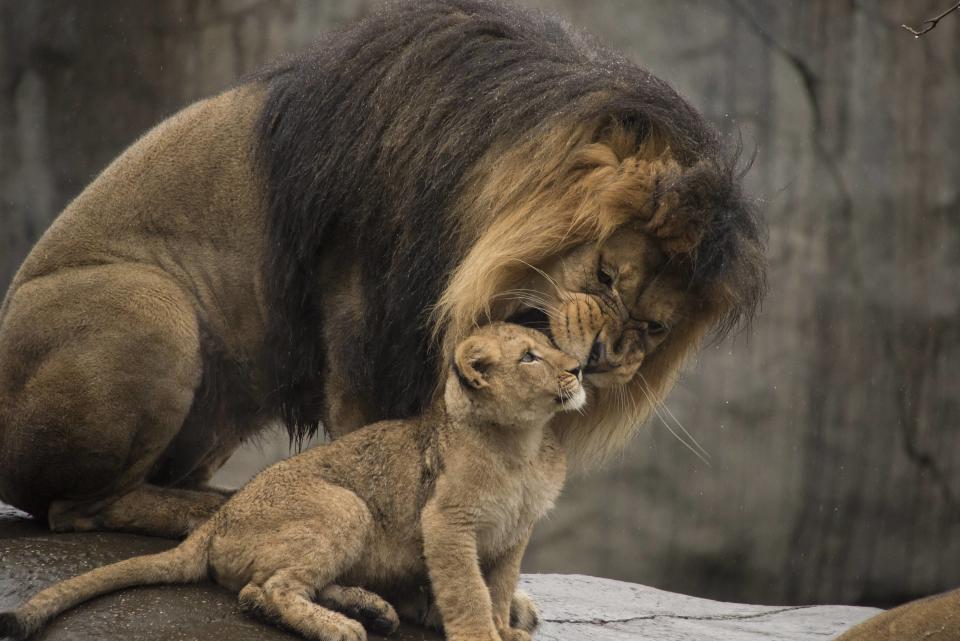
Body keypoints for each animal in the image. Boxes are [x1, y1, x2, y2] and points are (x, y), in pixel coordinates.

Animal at [0, 0, 764, 544]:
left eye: (655, 328)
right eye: (605, 275)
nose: (607, 357)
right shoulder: (360, 314)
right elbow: (374, 435)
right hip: (150, 305)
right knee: (75, 508)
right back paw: (216, 509)